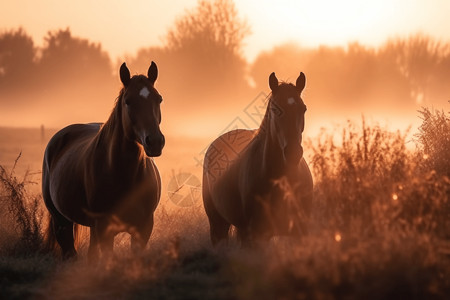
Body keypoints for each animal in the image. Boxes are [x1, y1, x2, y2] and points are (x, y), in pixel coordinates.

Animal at [41, 62, 165, 258]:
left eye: (159, 99)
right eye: (128, 101)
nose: (155, 142)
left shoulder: (144, 228)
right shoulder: (106, 228)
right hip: (62, 222)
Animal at [203, 71, 312, 246]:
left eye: (303, 109)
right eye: (275, 109)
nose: (293, 152)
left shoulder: (300, 232)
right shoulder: (256, 234)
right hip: (218, 226)